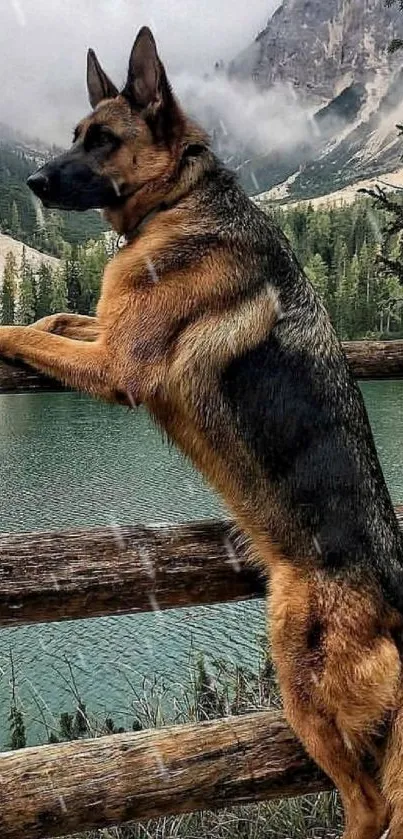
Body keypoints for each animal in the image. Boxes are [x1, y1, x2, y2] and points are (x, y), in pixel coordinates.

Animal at [0, 26, 403, 839]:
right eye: (74, 135)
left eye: (104, 141)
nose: (31, 182)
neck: (180, 200)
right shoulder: (107, 329)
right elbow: (52, 316)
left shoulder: (117, 361)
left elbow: (21, 329)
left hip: (300, 680)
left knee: (370, 803)